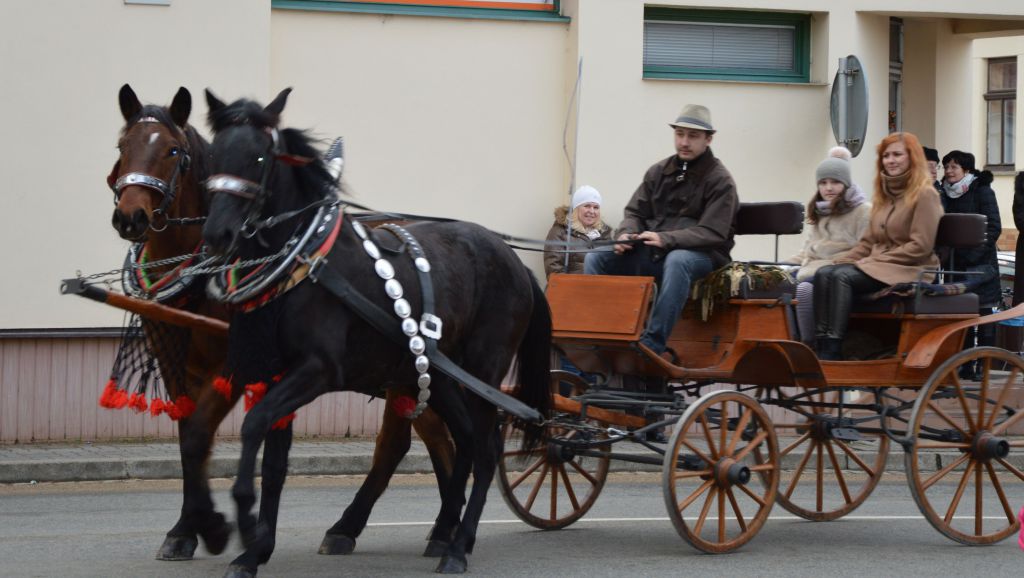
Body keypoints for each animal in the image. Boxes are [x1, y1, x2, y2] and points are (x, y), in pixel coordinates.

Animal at [108, 85, 457, 564]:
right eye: (122, 147)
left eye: (173, 150)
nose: (131, 216)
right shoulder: (177, 363)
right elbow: (190, 439)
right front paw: (188, 528)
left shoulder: (239, 364)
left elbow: (215, 437)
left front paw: (215, 527)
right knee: (423, 440)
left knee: (421, 441)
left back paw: (421, 530)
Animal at [201, 87, 551, 576]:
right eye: (214, 154)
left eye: (258, 157)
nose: (218, 233)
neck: (305, 264)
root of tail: (517, 263)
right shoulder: (273, 373)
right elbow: (272, 462)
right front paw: (254, 550)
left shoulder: (316, 371)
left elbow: (253, 426)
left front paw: (247, 523)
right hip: (439, 375)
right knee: (463, 442)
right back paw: (443, 534)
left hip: (484, 372)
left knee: (484, 451)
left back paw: (459, 546)